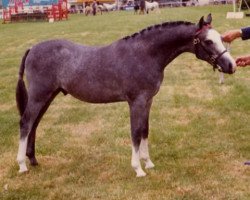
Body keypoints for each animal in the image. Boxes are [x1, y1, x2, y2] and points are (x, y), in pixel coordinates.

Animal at [16, 14, 235, 177]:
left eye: (221, 38)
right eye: (208, 41)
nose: (231, 65)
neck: (145, 54)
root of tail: (32, 48)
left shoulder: (147, 101)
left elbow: (145, 130)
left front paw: (149, 163)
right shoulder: (136, 102)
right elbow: (135, 133)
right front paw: (138, 169)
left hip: (48, 96)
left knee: (34, 124)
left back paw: (33, 160)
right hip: (39, 96)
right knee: (26, 123)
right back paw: (22, 165)